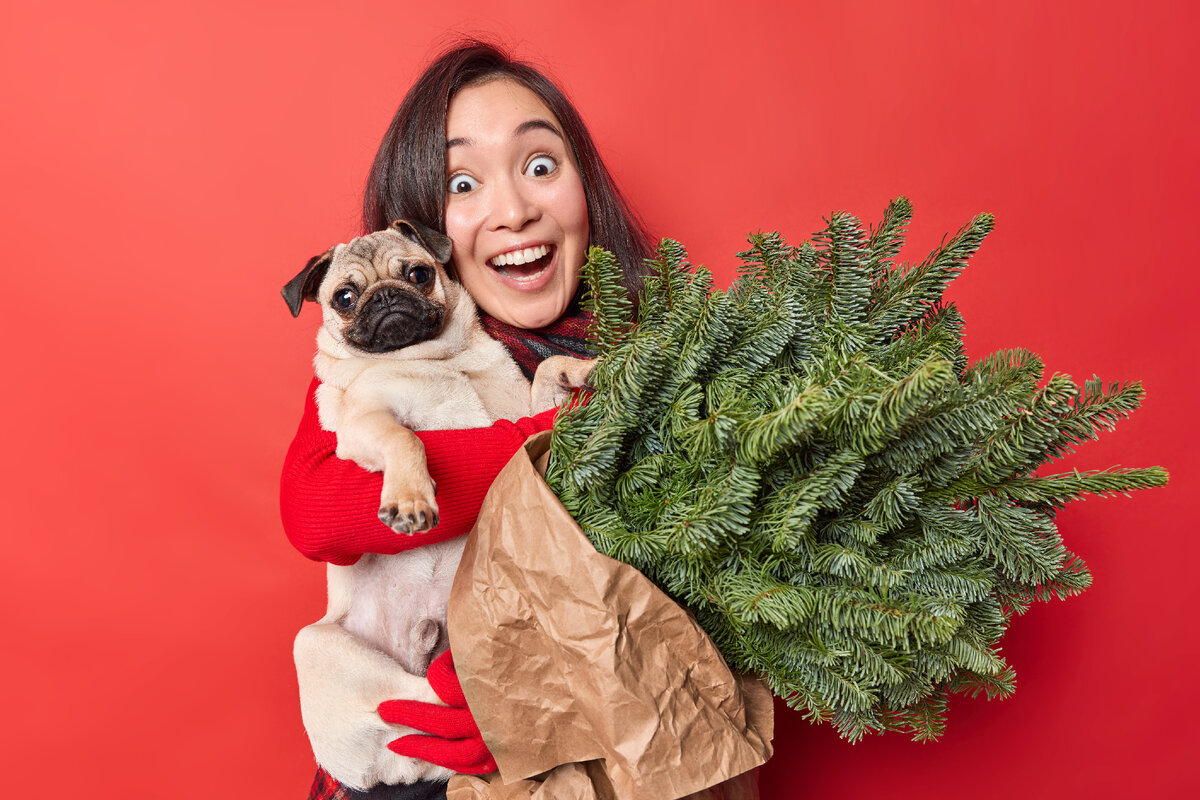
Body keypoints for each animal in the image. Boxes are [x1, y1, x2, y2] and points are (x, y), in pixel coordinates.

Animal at [285, 219, 595, 786]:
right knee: (424, 698)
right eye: (344, 298)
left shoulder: (519, 410)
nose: (386, 297)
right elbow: (407, 440)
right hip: (316, 647)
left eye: (418, 274)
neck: (438, 360)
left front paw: (581, 370)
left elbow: (547, 375)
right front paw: (410, 499)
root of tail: (398, 766)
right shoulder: (367, 423)